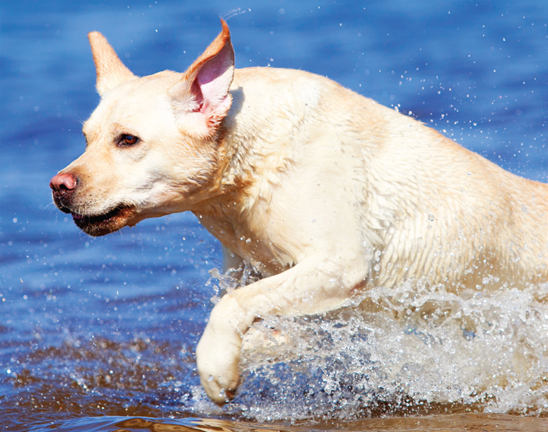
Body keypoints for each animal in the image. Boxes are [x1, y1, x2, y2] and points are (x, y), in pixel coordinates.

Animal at [49, 20, 544, 404]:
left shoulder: (339, 264)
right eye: (87, 137)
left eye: (127, 140)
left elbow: (230, 306)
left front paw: (215, 368)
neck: (247, 164)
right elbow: (273, 328)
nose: (58, 187)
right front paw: (237, 362)